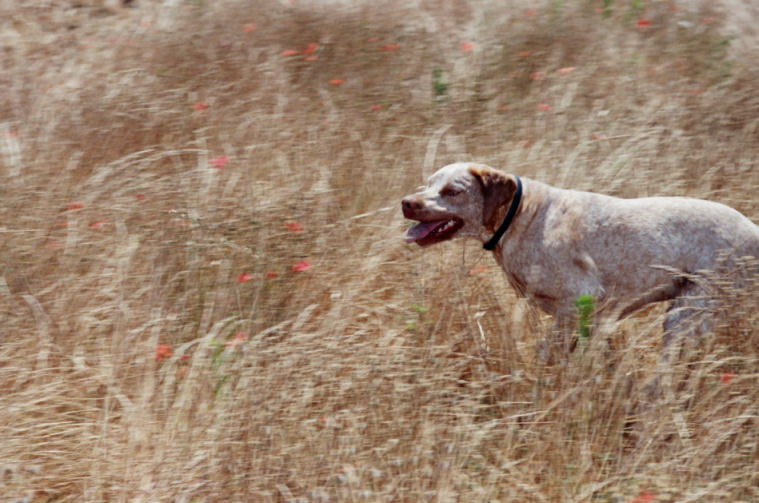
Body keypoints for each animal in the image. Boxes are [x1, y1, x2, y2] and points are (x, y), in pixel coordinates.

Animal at [404, 163, 759, 360]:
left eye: (452, 191)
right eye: (428, 183)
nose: (406, 202)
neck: (525, 216)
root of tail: (753, 230)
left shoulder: (578, 301)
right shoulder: (594, 318)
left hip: (686, 315)